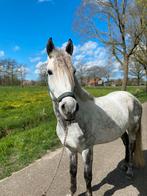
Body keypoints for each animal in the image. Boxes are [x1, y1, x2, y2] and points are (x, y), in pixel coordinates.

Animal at [46, 37, 145, 195]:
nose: (69, 107)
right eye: (49, 72)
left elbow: (87, 175)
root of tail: (132, 97)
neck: (72, 123)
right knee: (125, 144)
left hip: (133, 129)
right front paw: (72, 192)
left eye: (74, 71)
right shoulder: (70, 150)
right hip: (121, 130)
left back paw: (129, 171)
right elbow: (72, 172)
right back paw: (124, 165)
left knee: (131, 146)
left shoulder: (87, 149)